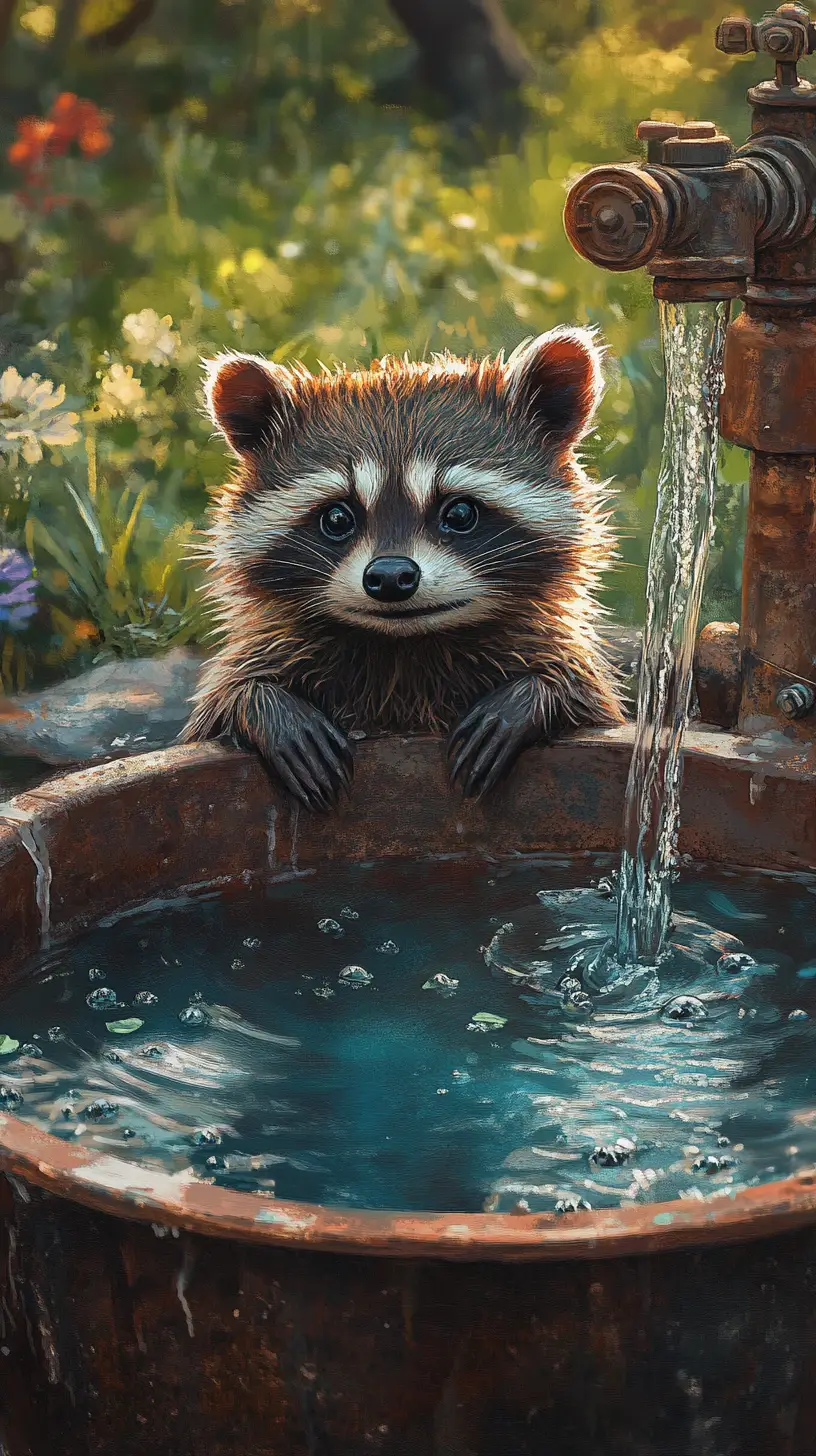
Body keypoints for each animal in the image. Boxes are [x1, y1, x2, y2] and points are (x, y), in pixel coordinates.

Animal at [182, 328, 624, 808]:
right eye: (337, 517)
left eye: (460, 513)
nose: (391, 577)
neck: (405, 645)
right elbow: (222, 705)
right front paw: (267, 708)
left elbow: (583, 698)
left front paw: (530, 698)